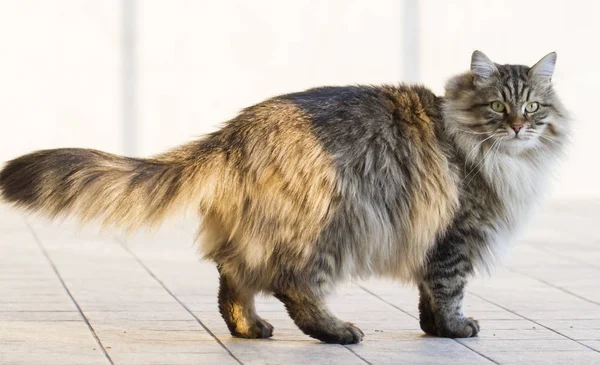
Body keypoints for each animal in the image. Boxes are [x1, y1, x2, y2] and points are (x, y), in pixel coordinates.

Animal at [0, 51, 568, 344]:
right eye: (497, 107)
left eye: (533, 107)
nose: (518, 127)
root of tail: (233, 133)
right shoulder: (458, 235)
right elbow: (448, 289)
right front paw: (453, 330)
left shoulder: (438, 242)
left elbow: (429, 292)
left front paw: (433, 330)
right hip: (332, 225)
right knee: (291, 284)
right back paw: (336, 331)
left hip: (259, 230)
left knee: (232, 279)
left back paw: (249, 328)